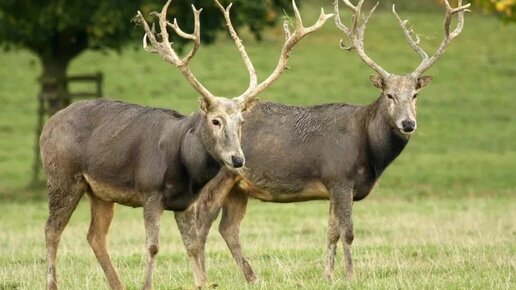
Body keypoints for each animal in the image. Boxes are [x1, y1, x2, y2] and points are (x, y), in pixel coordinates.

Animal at [38, 0, 332, 288]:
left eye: (241, 121)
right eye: (215, 120)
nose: (238, 159)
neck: (184, 166)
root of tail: (47, 125)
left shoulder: (186, 203)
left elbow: (191, 246)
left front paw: (202, 282)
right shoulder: (150, 191)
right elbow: (153, 246)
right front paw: (147, 285)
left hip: (99, 192)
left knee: (95, 236)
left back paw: (117, 284)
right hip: (62, 176)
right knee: (52, 229)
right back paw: (52, 283)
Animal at [191, 0, 470, 284]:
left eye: (415, 95)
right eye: (389, 95)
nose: (408, 124)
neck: (368, 148)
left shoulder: (335, 186)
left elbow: (331, 231)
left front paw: (327, 275)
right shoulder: (340, 177)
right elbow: (348, 232)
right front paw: (350, 275)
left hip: (238, 187)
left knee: (228, 228)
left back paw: (253, 278)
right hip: (218, 177)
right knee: (201, 224)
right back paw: (205, 279)